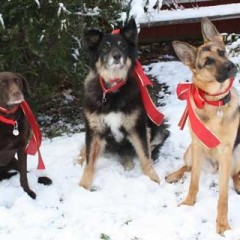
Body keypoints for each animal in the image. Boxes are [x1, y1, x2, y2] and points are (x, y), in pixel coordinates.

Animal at [0, 71, 52, 199]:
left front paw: (28, 192)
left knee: (26, 172)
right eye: (2, 83)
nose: (17, 93)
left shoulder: (22, 148)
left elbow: (24, 176)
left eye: (17, 80)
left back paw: (43, 179)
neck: (9, 118)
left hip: (12, 161)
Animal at [79, 19, 169, 189]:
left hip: (158, 126)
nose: (117, 56)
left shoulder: (137, 126)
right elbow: (89, 162)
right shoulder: (95, 129)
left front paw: (153, 179)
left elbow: (145, 156)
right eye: (105, 47)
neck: (113, 89)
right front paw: (83, 187)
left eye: (122, 47)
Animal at [166, 18, 240, 234]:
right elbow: (193, 182)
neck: (214, 103)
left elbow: (223, 196)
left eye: (222, 52)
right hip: (190, 152)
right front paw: (189, 203)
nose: (232, 66)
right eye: (208, 62)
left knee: (234, 174)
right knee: (188, 168)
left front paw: (222, 223)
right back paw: (174, 175)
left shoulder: (226, 151)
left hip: (236, 155)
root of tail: (214, 168)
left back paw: (238, 183)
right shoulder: (198, 146)